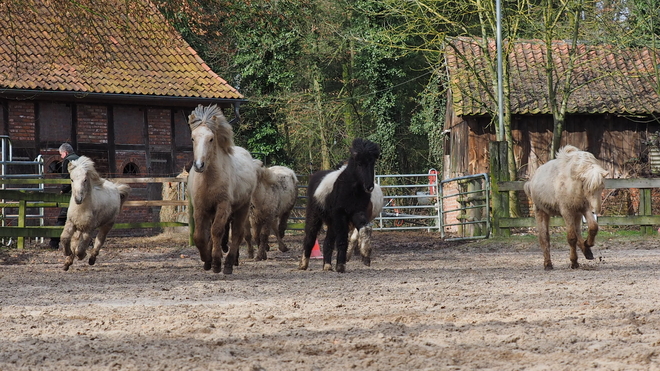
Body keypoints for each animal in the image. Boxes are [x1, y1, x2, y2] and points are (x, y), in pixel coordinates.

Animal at [187, 104, 262, 274]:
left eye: (211, 139)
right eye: (193, 138)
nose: (199, 165)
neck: (209, 180)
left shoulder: (222, 206)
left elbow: (216, 232)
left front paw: (215, 263)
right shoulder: (200, 208)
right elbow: (200, 236)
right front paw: (206, 259)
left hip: (242, 208)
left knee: (237, 234)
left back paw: (228, 264)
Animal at [300, 139, 382, 274]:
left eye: (372, 163)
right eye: (359, 164)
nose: (369, 187)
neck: (351, 188)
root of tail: (314, 177)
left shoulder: (357, 212)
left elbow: (364, 229)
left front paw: (365, 253)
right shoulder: (340, 215)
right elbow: (342, 239)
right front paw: (341, 265)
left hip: (332, 222)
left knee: (328, 242)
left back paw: (327, 266)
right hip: (315, 215)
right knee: (310, 237)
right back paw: (303, 264)